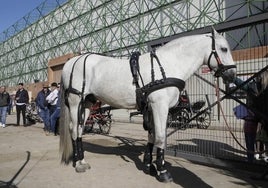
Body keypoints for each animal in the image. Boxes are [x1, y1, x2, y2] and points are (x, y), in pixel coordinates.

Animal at [59, 28, 236, 182]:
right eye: (224, 49)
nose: (232, 74)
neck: (168, 64)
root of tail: (71, 62)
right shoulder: (160, 105)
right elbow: (161, 136)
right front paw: (162, 171)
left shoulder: (151, 107)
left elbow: (152, 135)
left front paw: (150, 166)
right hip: (75, 102)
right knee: (73, 129)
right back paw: (78, 163)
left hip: (87, 102)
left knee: (80, 129)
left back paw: (82, 160)